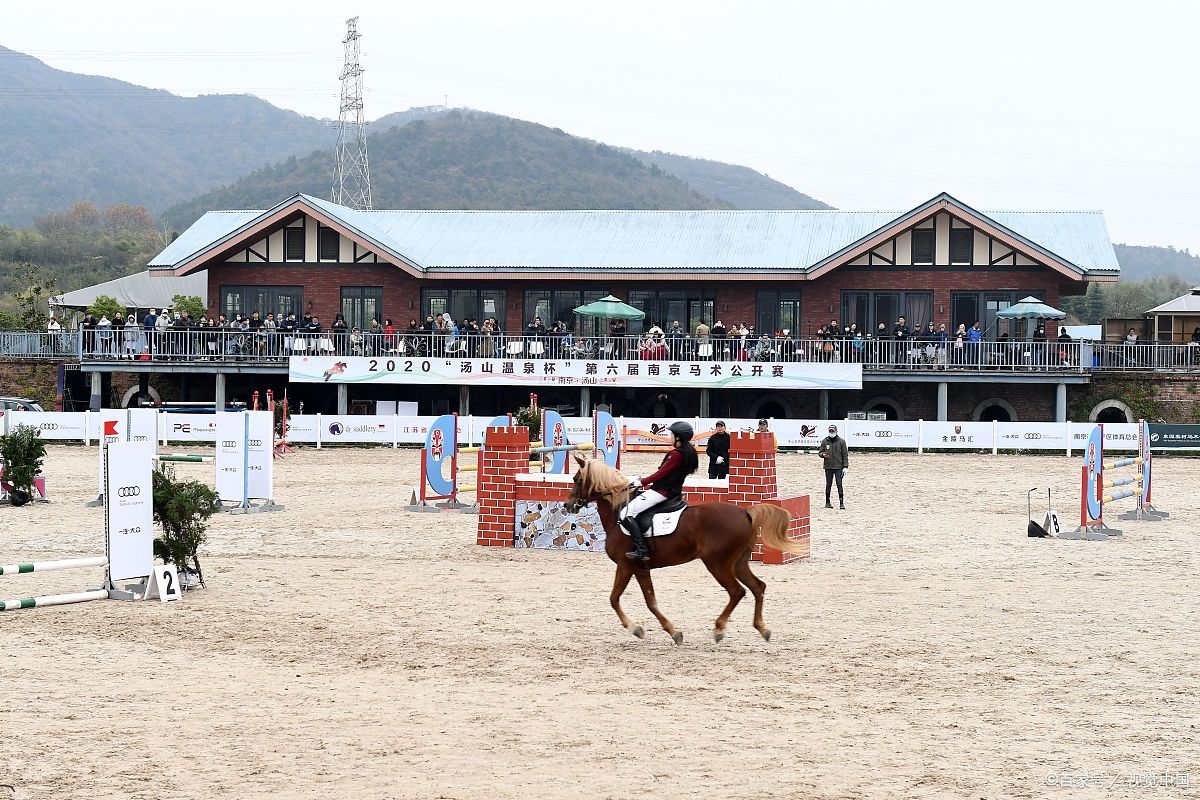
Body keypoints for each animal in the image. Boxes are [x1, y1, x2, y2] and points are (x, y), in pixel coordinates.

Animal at [565, 453, 802, 644]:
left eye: (576, 479)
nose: (568, 505)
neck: (618, 515)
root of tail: (745, 513)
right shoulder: (640, 568)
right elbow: (651, 601)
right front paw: (672, 632)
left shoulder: (625, 565)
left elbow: (614, 599)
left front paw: (637, 629)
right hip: (739, 563)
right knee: (758, 587)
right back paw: (762, 628)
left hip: (717, 564)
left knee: (737, 591)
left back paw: (719, 629)